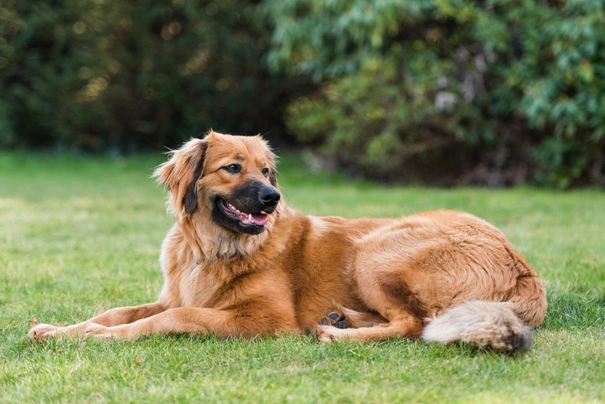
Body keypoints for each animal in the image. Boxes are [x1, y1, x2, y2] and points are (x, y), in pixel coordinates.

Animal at [29, 131, 548, 352]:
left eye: (266, 170)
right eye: (233, 168)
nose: (272, 197)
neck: (214, 248)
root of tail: (525, 269)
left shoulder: (264, 319)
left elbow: (170, 319)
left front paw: (94, 337)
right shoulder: (176, 292)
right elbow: (121, 312)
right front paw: (62, 329)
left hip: (376, 248)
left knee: (413, 324)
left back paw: (336, 333)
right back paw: (343, 318)